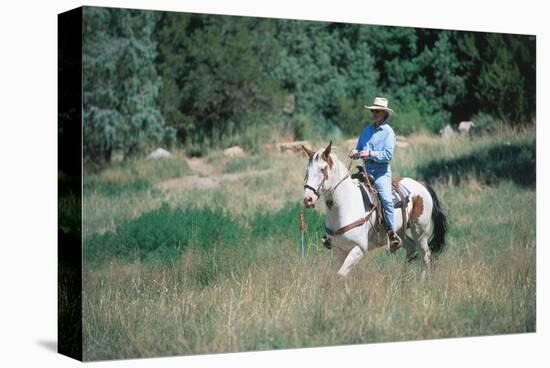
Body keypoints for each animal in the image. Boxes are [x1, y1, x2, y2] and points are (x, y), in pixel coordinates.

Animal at [302, 139, 448, 278]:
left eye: (322, 169)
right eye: (307, 171)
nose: (307, 199)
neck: (344, 207)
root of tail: (421, 184)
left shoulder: (359, 249)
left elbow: (341, 274)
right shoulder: (339, 250)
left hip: (420, 231)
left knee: (425, 255)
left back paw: (422, 281)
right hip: (400, 232)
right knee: (411, 248)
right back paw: (402, 280)